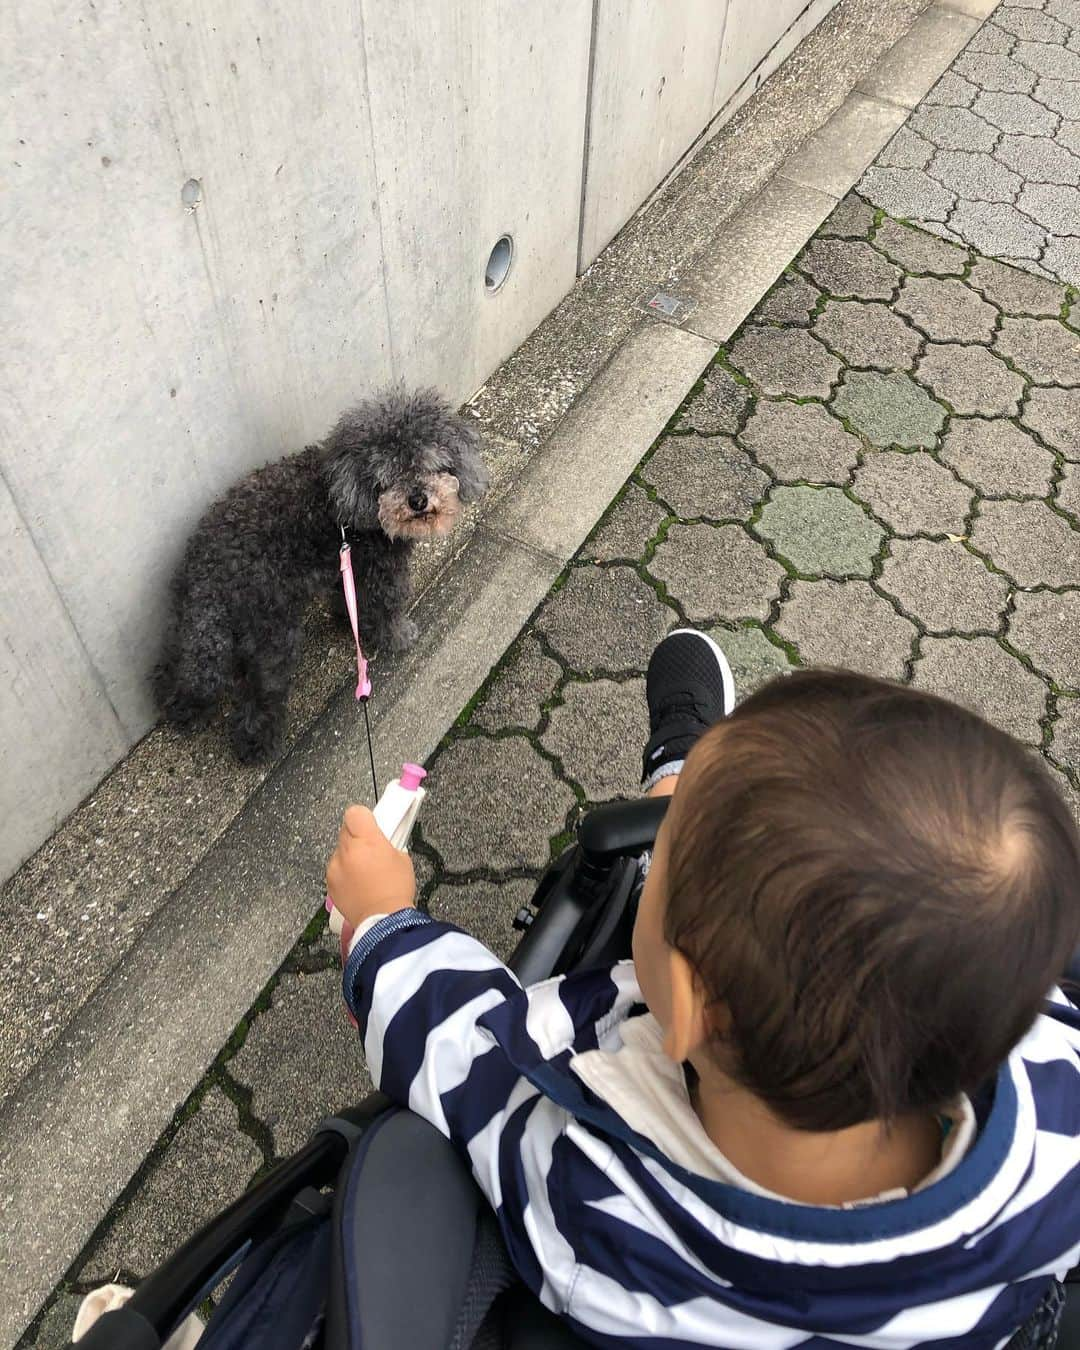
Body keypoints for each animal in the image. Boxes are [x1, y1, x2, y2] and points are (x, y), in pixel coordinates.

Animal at [153, 394, 486, 761]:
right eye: (387, 477)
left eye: (430, 464)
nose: (418, 500)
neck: (352, 504)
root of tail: (208, 568)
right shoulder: (381, 568)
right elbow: (389, 604)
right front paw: (399, 636)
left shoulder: (347, 565)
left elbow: (346, 598)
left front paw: (351, 622)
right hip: (273, 631)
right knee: (260, 691)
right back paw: (257, 743)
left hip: (201, 626)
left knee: (186, 662)